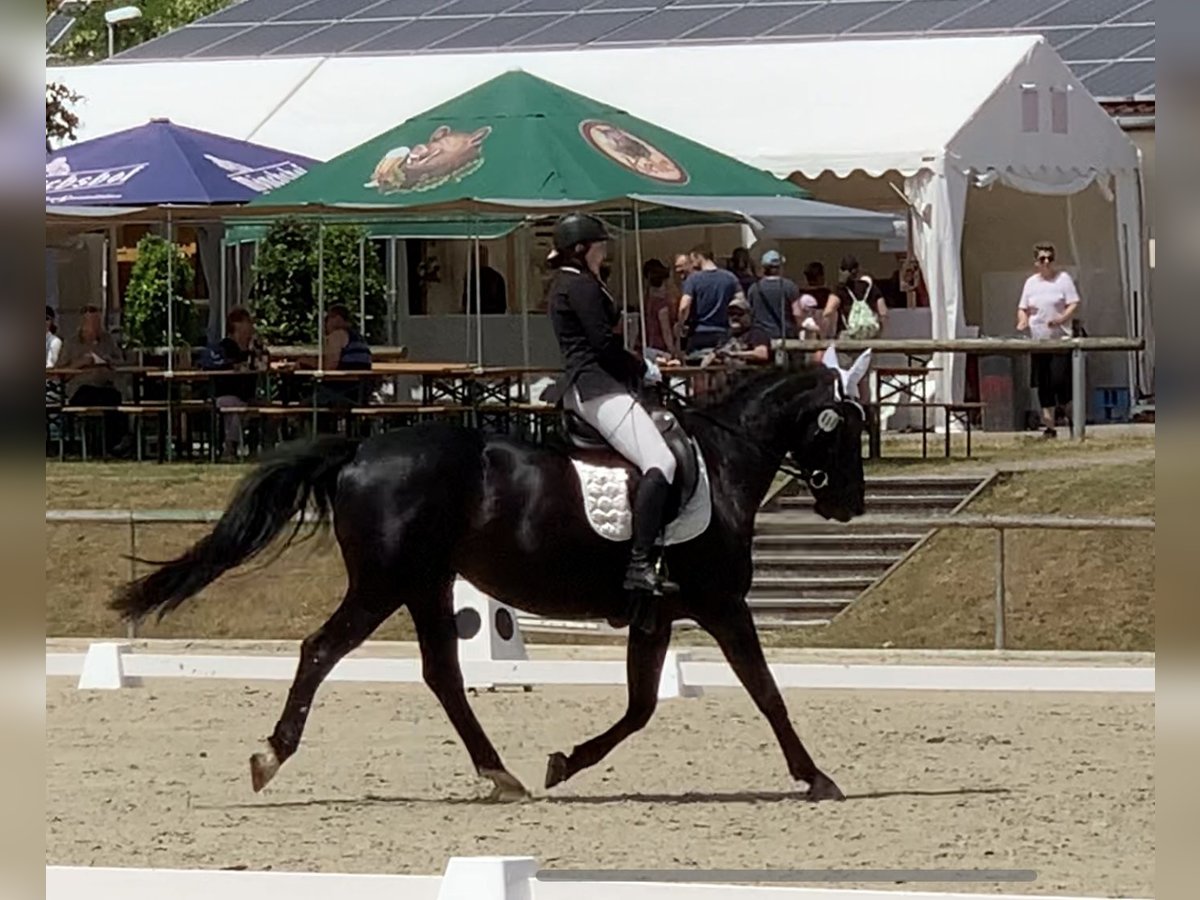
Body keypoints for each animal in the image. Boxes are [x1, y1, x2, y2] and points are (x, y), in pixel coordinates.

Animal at [110, 364, 864, 801]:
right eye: (842, 428)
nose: (850, 504)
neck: (722, 462)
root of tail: (359, 448)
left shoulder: (657, 615)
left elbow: (642, 707)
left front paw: (565, 762)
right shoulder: (722, 604)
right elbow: (766, 692)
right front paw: (817, 776)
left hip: (426, 583)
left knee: (442, 673)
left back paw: (501, 774)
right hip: (385, 584)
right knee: (321, 651)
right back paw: (271, 756)